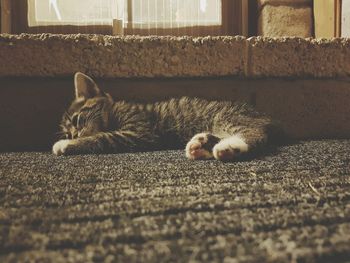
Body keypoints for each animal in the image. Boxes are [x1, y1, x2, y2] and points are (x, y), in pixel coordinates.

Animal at [52, 73, 284, 162]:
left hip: (228, 117)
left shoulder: (138, 131)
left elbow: (101, 137)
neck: (115, 111)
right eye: (68, 131)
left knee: (254, 134)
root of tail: (266, 117)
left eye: (77, 120)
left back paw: (229, 148)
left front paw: (65, 145)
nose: (73, 135)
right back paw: (201, 145)